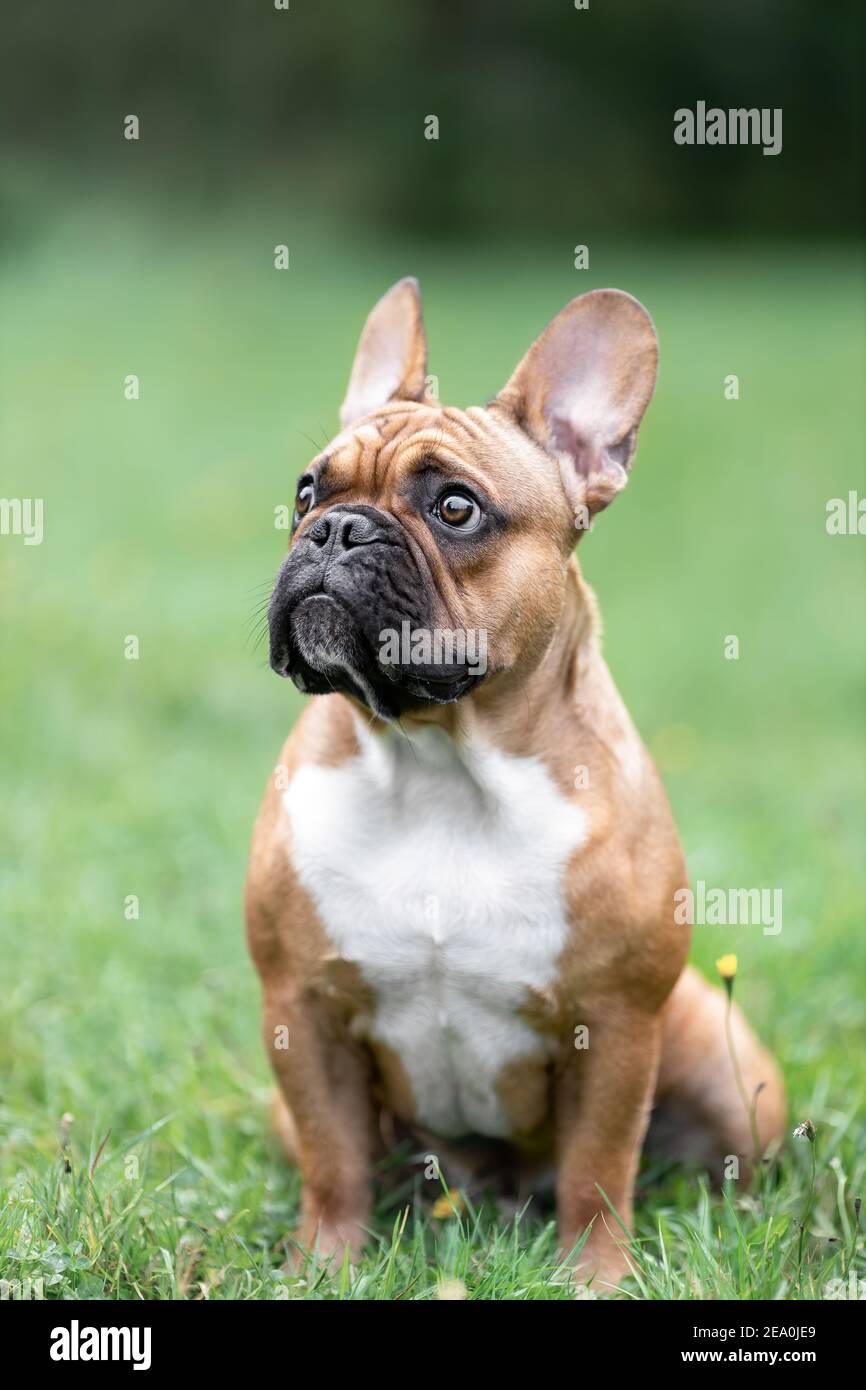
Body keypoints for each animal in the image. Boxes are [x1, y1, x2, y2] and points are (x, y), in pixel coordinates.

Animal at [244, 276, 783, 1284]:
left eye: (456, 509)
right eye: (305, 490)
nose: (335, 529)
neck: (438, 762)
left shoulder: (615, 1026)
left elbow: (600, 1167)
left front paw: (596, 1278)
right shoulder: (303, 1010)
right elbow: (333, 1162)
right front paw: (324, 1267)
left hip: (734, 1082)